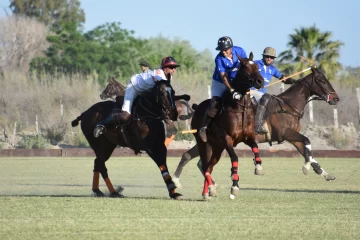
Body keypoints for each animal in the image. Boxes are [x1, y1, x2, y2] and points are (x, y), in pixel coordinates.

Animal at [172, 66, 340, 189]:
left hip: (212, 142)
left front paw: (325, 174)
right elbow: (307, 141)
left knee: (190, 157)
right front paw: (305, 168)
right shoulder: (286, 133)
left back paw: (180, 181)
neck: (289, 106)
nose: (336, 98)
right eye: (321, 80)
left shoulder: (292, 137)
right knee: (197, 160)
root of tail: (196, 108)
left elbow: (307, 151)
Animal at [191, 51, 264, 200]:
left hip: (217, 148)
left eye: (257, 66)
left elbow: (256, 148)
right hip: (203, 144)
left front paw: (258, 167)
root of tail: (196, 107)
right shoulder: (227, 138)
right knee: (204, 165)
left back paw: (208, 192)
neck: (240, 106)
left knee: (208, 167)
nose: (260, 81)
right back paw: (210, 189)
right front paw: (235, 186)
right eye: (246, 67)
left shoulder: (248, 137)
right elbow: (234, 158)